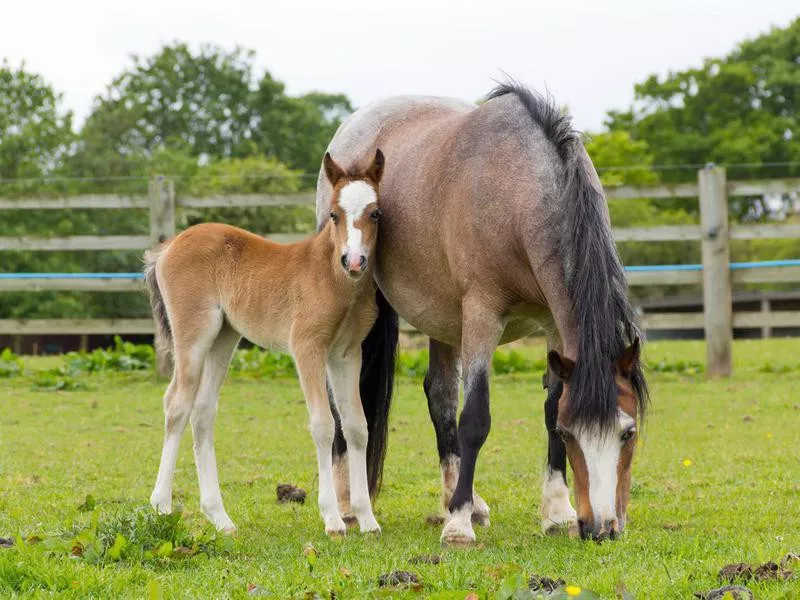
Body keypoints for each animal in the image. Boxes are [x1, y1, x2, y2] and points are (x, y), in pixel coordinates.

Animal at [147, 152, 390, 536]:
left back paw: (220, 518)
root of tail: (169, 245)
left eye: (376, 213)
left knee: (203, 412)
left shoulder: (346, 354)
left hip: (224, 337)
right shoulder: (308, 347)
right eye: (334, 214)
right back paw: (161, 506)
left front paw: (367, 520)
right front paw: (332, 518)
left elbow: (356, 427)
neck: (332, 276)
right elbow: (323, 425)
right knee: (177, 404)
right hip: (195, 335)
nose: (354, 261)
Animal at [316, 82, 648, 548]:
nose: (601, 527)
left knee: (439, 397)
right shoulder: (481, 316)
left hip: (441, 318)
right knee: (342, 402)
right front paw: (458, 525)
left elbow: (547, 408)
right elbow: (475, 418)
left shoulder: (553, 326)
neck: (519, 188)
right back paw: (348, 506)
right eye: (572, 435)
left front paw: (557, 512)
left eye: (628, 432)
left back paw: (462, 499)